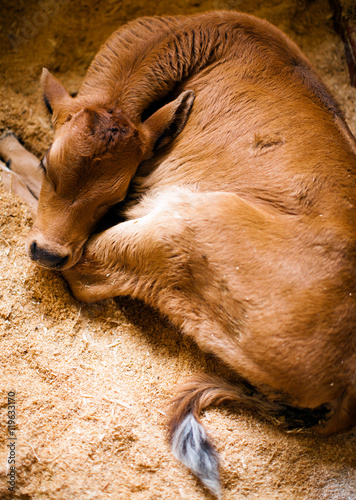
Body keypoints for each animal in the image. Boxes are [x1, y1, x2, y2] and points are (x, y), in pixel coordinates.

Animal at [1, 10, 354, 496]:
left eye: (115, 196)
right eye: (48, 165)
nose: (50, 253)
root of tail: (346, 392)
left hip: (179, 224)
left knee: (87, 273)